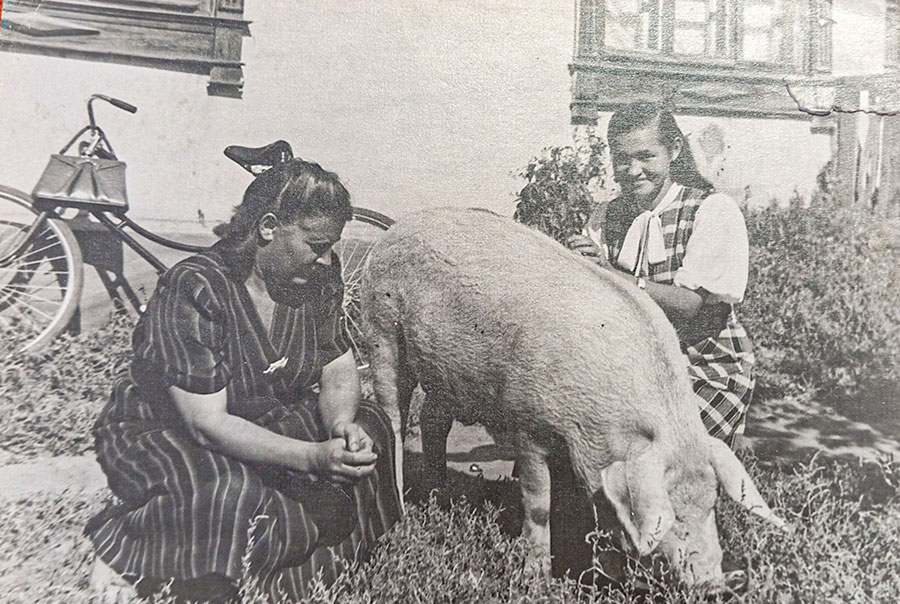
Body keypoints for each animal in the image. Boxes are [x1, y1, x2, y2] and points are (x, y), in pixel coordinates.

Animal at [360, 206, 788, 584]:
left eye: (711, 503)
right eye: (670, 515)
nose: (720, 582)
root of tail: (399, 226)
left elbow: (599, 507)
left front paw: (604, 573)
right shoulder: (528, 425)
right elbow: (538, 503)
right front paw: (537, 578)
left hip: (446, 374)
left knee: (434, 421)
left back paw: (439, 496)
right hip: (380, 328)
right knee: (393, 416)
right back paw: (402, 509)